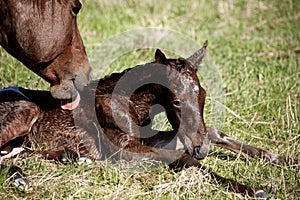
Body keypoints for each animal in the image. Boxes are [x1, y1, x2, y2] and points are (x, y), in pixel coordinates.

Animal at [0, 41, 296, 198]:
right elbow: (183, 158)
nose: (201, 149)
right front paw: (255, 190)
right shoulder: (123, 149)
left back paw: (67, 159)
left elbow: (214, 132)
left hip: (22, 144)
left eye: (203, 95)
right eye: (176, 101)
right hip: (25, 113)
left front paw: (286, 161)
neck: (128, 102)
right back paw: (22, 179)